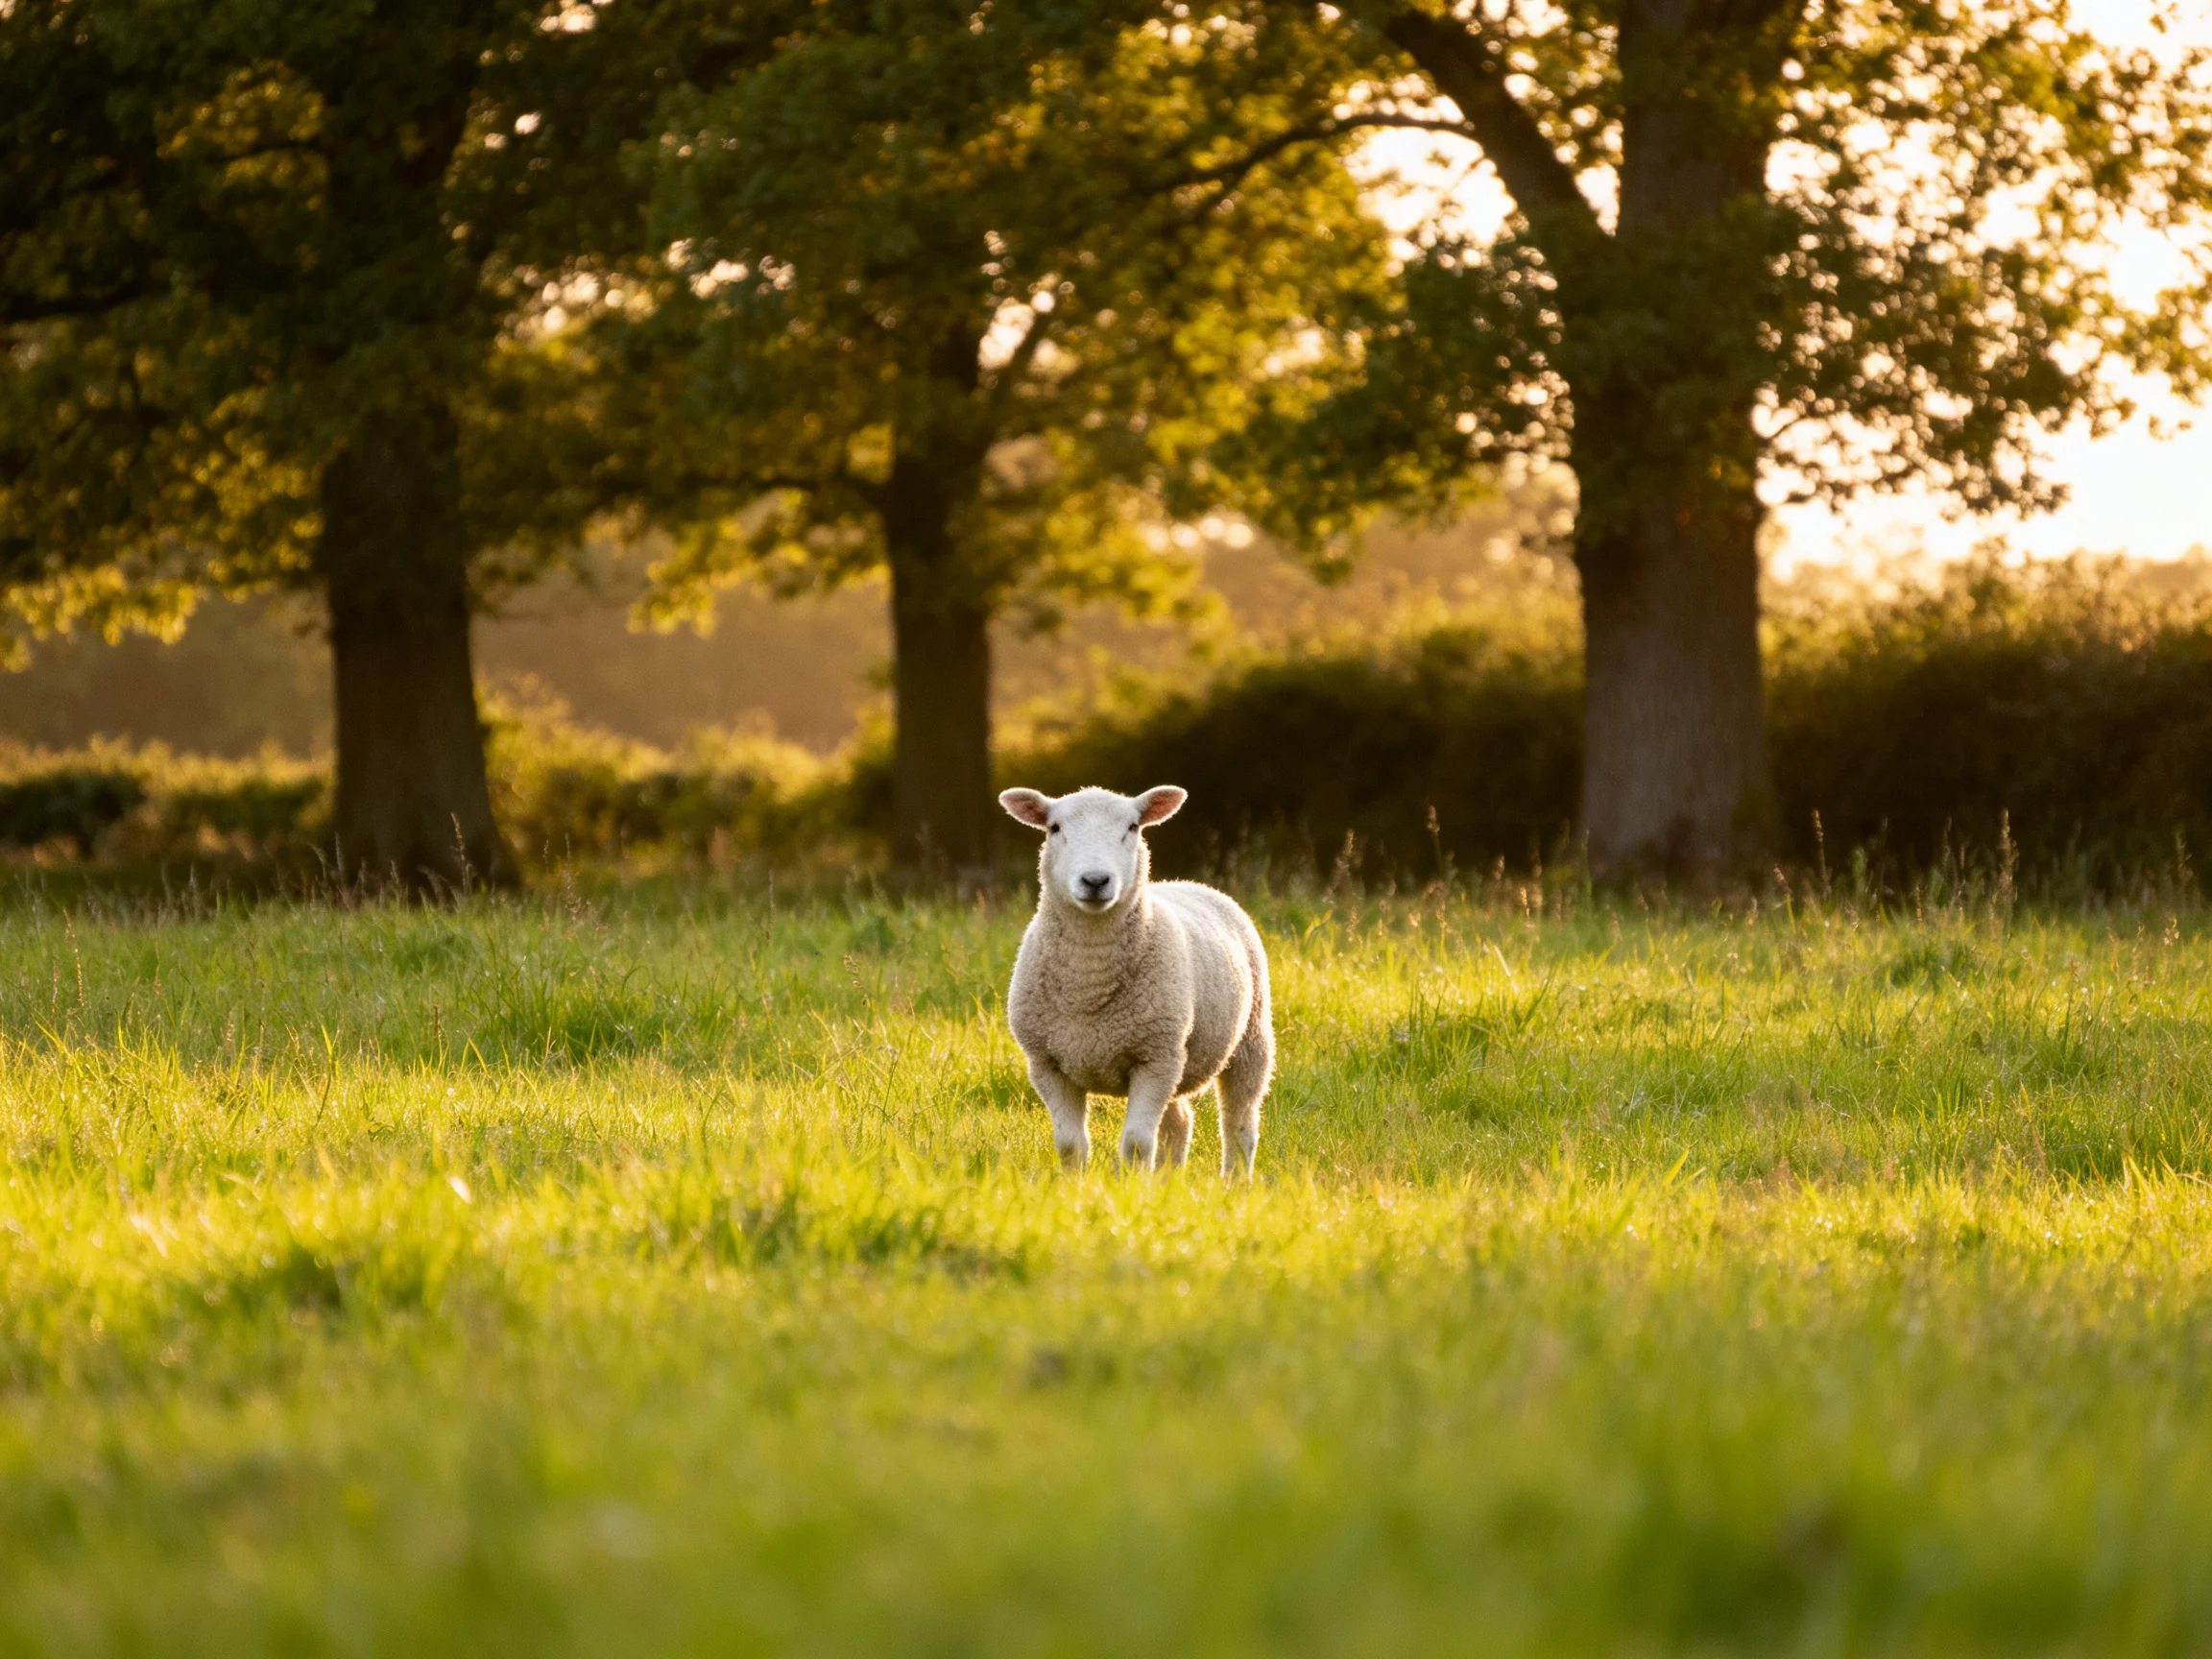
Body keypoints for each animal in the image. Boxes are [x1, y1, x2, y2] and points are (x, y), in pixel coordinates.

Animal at [998, 784, 1273, 1177]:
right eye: (1054, 828)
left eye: (1132, 827)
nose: (1095, 880)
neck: (1089, 979)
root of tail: (1190, 883)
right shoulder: (1047, 1064)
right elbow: (1070, 1146)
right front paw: (1074, 1185)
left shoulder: (1155, 1059)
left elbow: (1137, 1143)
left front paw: (1132, 1184)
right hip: (1181, 1060)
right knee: (1180, 1121)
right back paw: (1169, 1179)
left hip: (1249, 1041)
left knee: (1240, 1125)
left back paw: (1234, 1182)